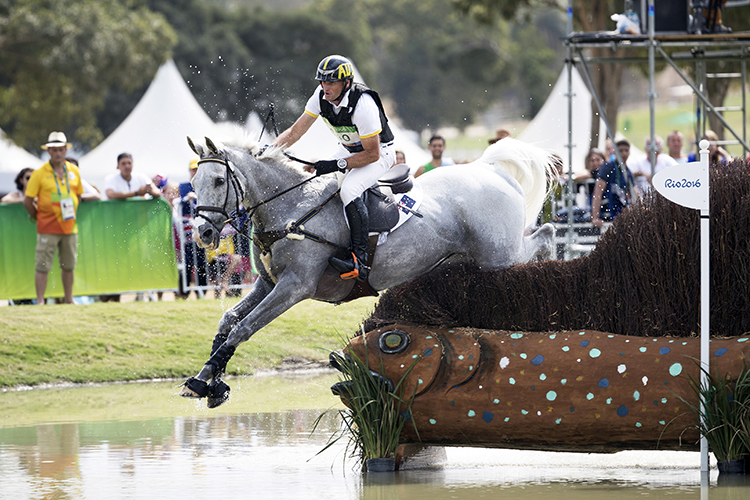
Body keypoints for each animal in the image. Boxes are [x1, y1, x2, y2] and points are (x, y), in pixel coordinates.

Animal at [181, 134, 560, 406]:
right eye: (195, 182)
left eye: (218, 181)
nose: (202, 233)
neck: (291, 207)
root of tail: (490, 170)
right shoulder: (266, 283)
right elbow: (228, 320)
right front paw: (210, 381)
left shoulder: (294, 287)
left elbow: (243, 328)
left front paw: (205, 380)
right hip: (473, 259)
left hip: (501, 254)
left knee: (546, 236)